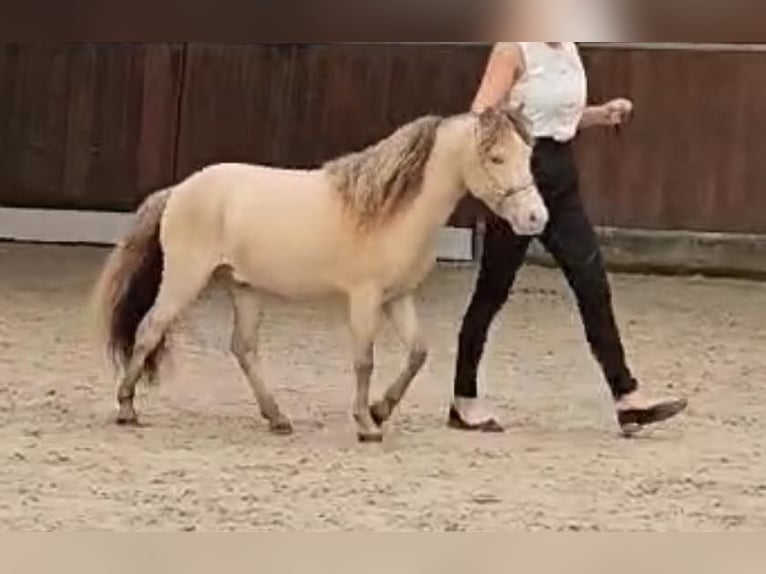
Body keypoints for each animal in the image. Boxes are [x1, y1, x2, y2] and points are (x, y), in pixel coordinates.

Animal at [93, 107, 549, 443]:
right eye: (496, 157)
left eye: (527, 156)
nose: (536, 218)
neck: (390, 210)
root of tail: (179, 190)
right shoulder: (365, 298)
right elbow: (364, 360)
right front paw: (366, 424)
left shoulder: (397, 298)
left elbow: (418, 353)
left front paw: (380, 410)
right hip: (185, 280)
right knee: (150, 329)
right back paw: (127, 408)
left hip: (244, 286)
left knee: (244, 348)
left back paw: (278, 418)